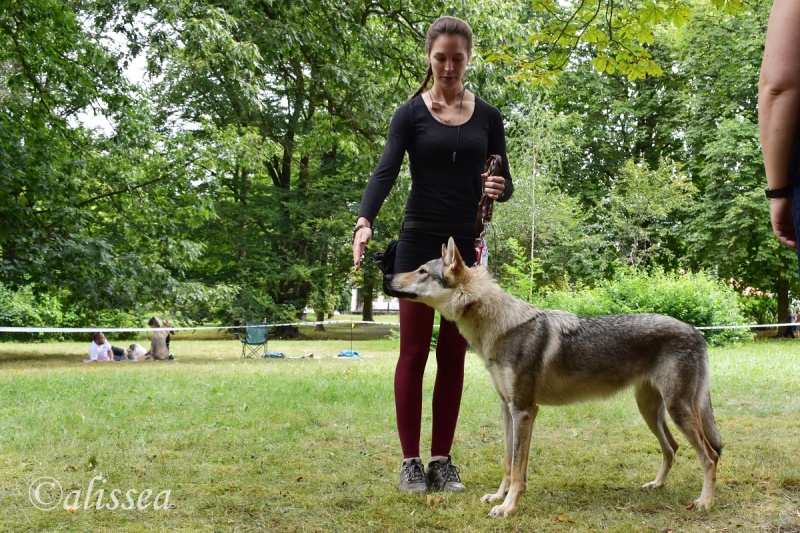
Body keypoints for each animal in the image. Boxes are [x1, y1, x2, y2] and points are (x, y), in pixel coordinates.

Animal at [384, 237, 720, 516]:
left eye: (421, 271)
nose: (387, 277)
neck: (499, 327)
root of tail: (695, 331)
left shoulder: (524, 411)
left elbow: (517, 469)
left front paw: (507, 508)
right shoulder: (508, 410)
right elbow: (509, 464)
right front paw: (498, 497)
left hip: (678, 411)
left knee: (710, 456)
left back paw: (704, 502)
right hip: (651, 410)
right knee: (673, 448)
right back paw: (657, 485)